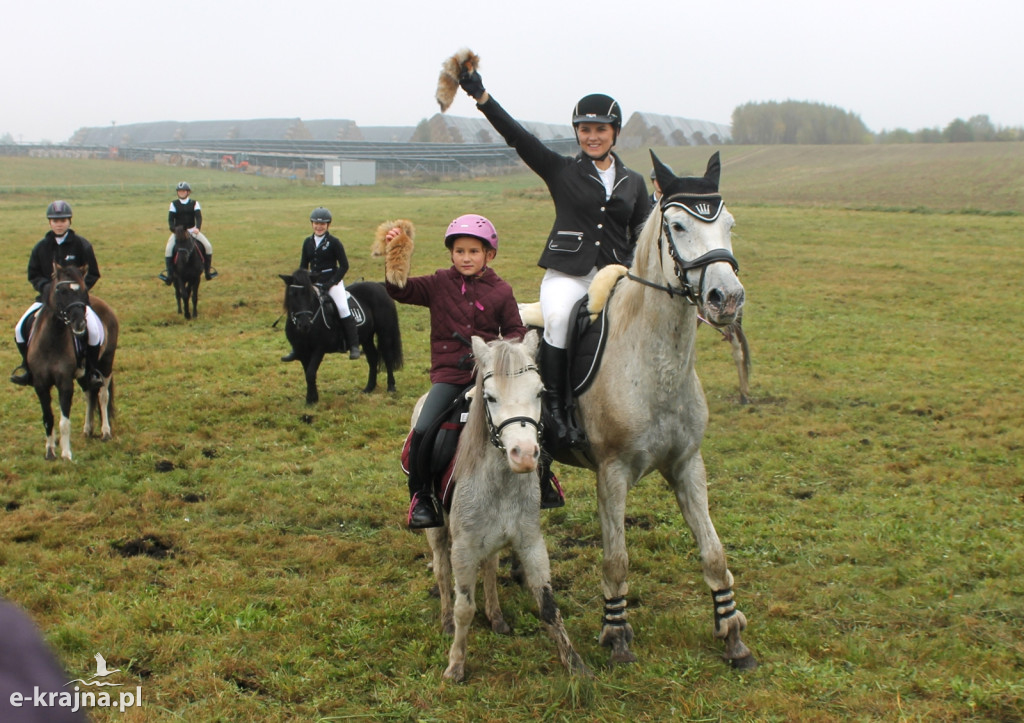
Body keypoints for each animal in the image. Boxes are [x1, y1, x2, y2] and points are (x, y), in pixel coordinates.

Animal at [284, 270, 407, 403]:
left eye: (310, 294)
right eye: (291, 294)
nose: (304, 324)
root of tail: (379, 286)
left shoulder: (319, 349)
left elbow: (310, 373)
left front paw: (311, 400)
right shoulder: (302, 352)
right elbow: (307, 373)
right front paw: (311, 399)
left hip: (385, 332)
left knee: (387, 356)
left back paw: (391, 387)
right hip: (366, 337)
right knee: (372, 358)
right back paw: (369, 388)